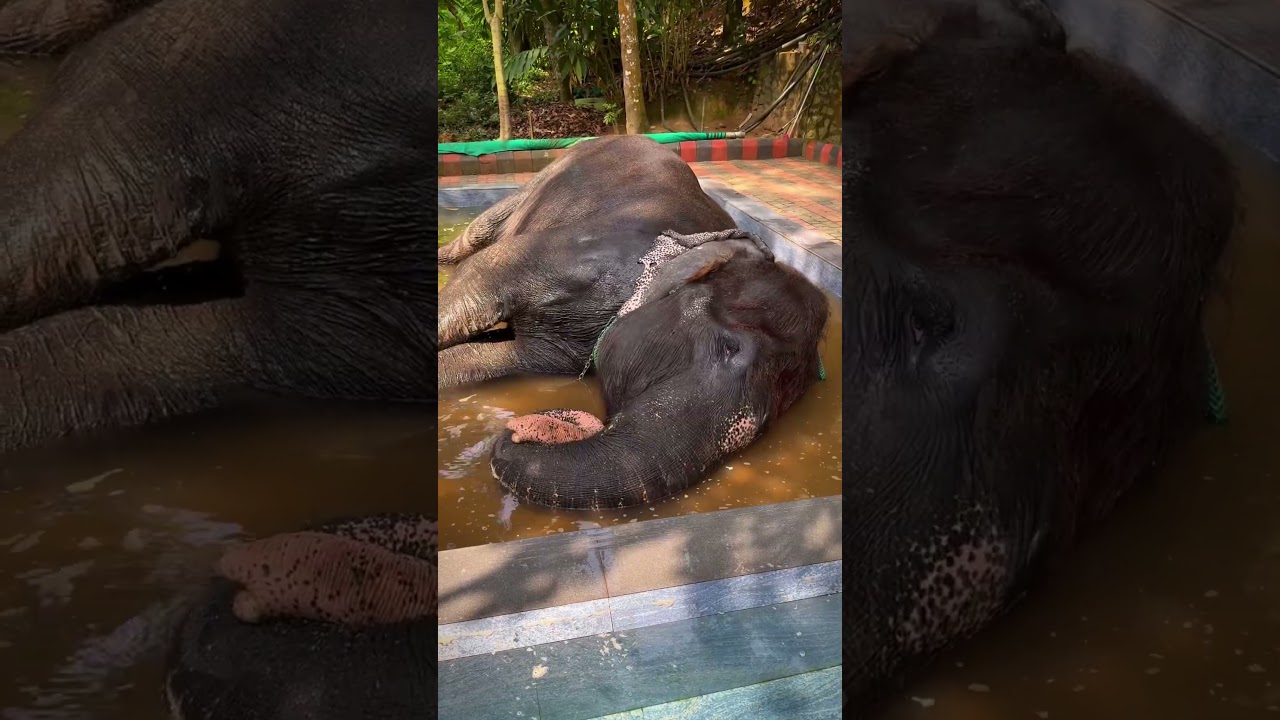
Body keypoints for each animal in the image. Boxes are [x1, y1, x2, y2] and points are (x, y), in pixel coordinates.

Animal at [438, 135, 766, 390]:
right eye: (727, 343)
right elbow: (479, 273)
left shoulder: (560, 351)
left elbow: (498, 357)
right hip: (539, 181)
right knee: (477, 233)